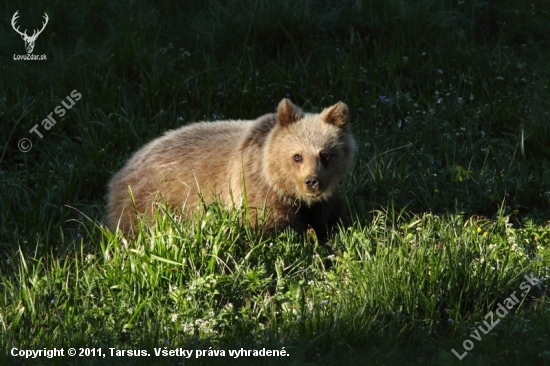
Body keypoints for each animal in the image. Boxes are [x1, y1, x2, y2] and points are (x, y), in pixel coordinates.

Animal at [106, 98, 358, 239]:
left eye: (325, 154)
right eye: (297, 156)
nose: (312, 181)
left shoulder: (323, 202)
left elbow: (333, 219)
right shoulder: (254, 189)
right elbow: (268, 225)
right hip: (149, 203)